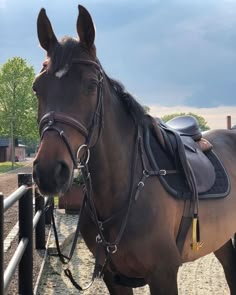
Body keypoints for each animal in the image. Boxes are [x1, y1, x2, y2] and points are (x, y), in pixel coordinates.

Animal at [32, 5, 236, 295]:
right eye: (37, 87)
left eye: (91, 85)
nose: (50, 172)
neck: (124, 191)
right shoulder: (113, 277)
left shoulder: (163, 274)